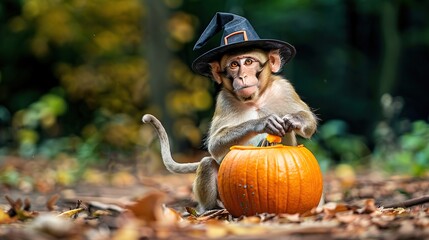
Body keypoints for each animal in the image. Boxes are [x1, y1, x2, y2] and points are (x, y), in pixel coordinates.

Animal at [142, 47, 316, 213]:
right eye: (234, 65)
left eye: (248, 62)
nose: (242, 77)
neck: (255, 101)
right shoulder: (224, 100)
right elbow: (214, 145)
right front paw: (261, 123)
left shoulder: (284, 88)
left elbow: (309, 122)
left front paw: (294, 120)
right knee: (207, 163)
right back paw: (210, 209)